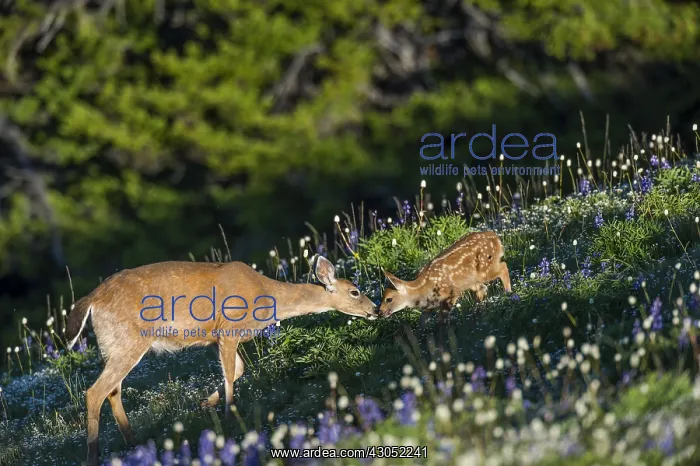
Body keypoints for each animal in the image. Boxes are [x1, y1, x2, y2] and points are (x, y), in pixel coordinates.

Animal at [63, 255, 378, 466]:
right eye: (355, 291)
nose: (376, 309)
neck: (266, 296)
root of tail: (91, 300)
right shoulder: (228, 328)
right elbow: (230, 372)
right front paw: (229, 415)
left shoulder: (221, 337)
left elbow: (237, 369)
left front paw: (205, 403)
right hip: (128, 340)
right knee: (95, 392)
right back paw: (93, 455)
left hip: (114, 346)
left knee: (112, 390)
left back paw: (134, 443)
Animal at [378, 230, 511, 332]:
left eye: (389, 299)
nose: (380, 312)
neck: (422, 290)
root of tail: (495, 237)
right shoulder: (429, 307)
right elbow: (422, 322)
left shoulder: (451, 293)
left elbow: (441, 320)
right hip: (472, 280)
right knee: (483, 289)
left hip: (485, 269)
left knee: (503, 267)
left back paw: (508, 294)